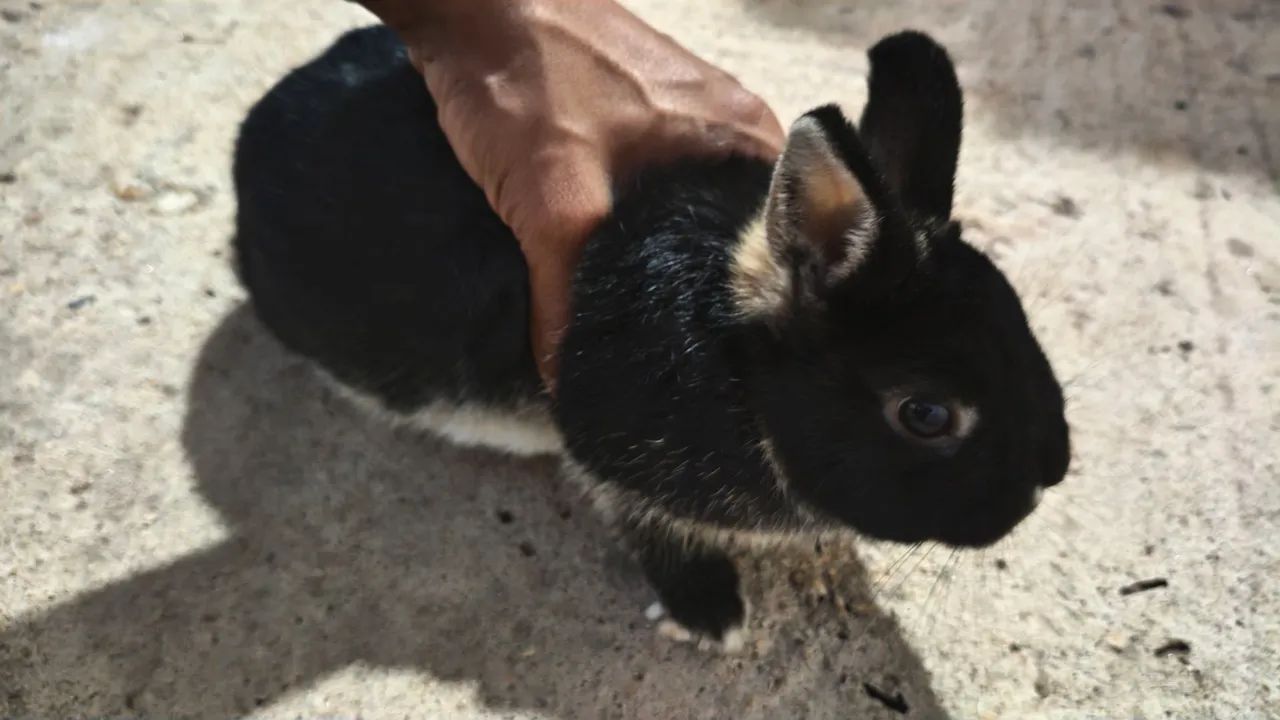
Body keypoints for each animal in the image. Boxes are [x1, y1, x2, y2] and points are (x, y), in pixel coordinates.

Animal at [232, 25, 1071, 650]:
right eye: (925, 414)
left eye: (1024, 328)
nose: (1048, 476)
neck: (739, 372)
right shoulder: (609, 453)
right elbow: (646, 524)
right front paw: (712, 617)